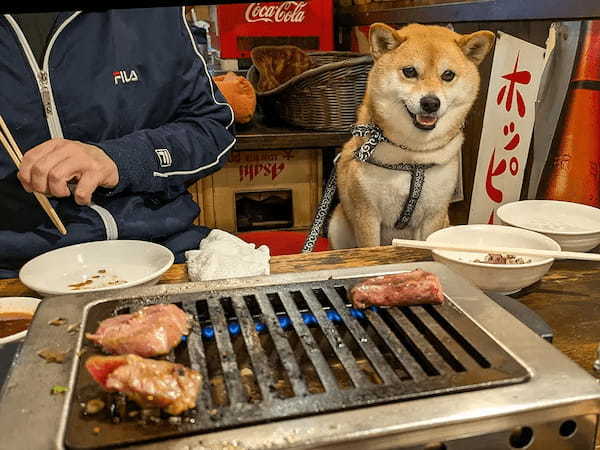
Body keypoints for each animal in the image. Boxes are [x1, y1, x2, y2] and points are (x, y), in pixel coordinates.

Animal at [330, 22, 494, 248]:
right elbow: (369, 246)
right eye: (409, 71)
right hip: (336, 224)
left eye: (448, 75)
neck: (411, 156)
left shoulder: (433, 214)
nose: (431, 103)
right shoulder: (367, 214)